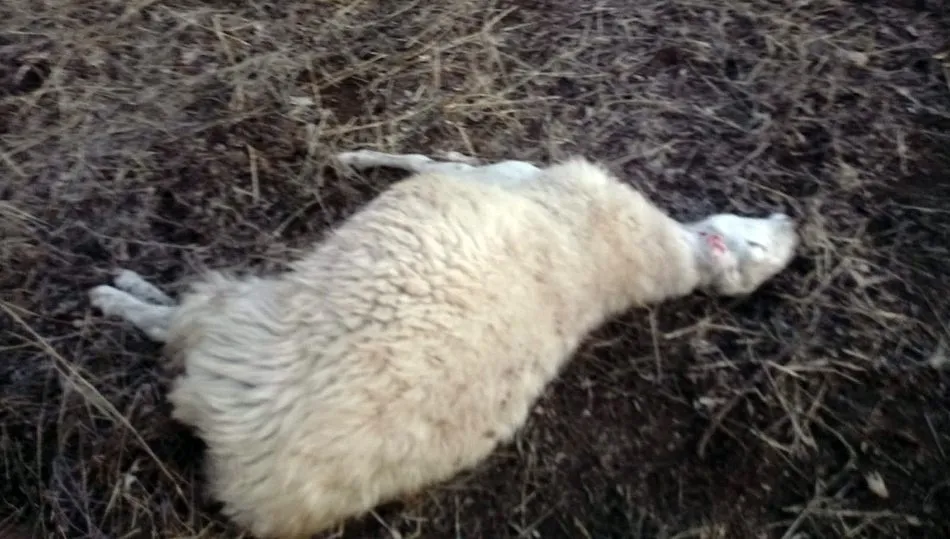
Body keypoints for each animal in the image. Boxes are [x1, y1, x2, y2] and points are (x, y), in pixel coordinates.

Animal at [87, 149, 799, 539]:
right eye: (759, 245)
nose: (793, 222)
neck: (645, 259)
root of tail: (252, 484)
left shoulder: (510, 175)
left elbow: (432, 163)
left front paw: (356, 158)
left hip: (240, 328)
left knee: (176, 325)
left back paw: (122, 294)